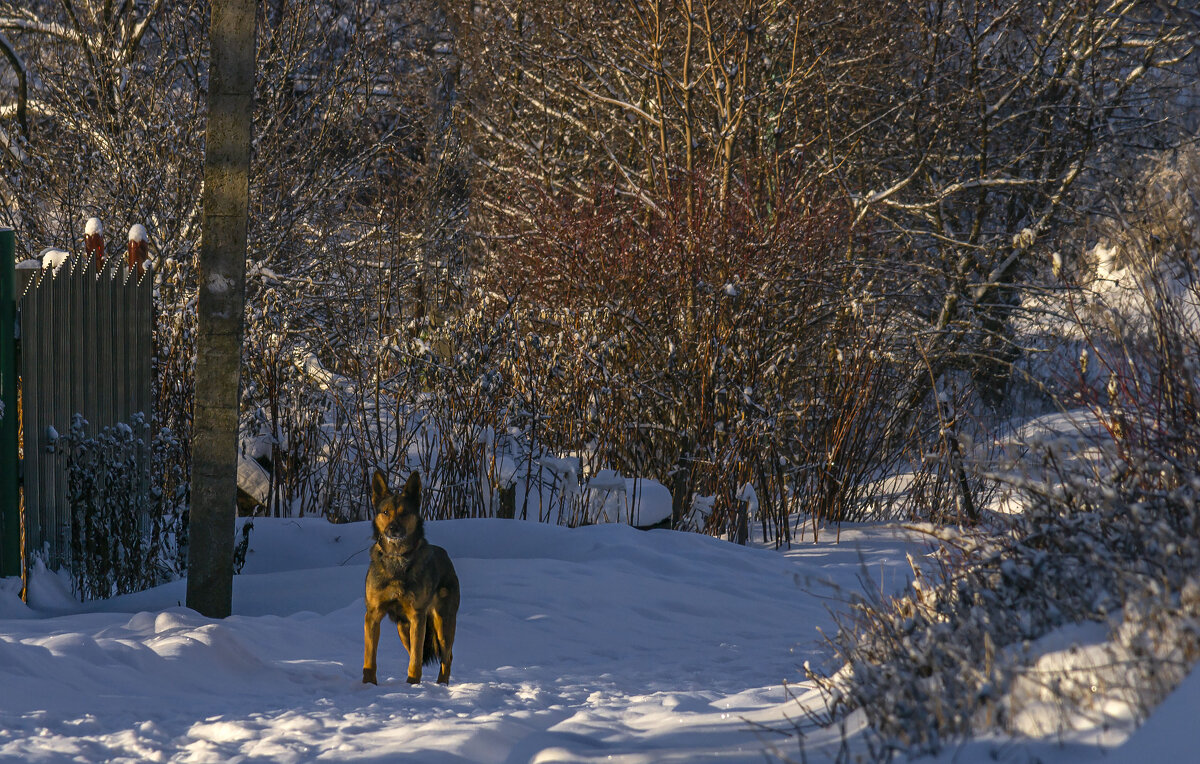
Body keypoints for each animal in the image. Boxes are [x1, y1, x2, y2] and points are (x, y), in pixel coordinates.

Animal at [360, 467, 458, 681]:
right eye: (385, 512)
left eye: (404, 513)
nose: (392, 529)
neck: (397, 558)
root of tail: (446, 556)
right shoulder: (373, 615)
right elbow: (370, 659)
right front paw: (368, 684)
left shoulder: (417, 616)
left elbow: (415, 661)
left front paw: (412, 684)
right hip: (403, 629)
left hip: (442, 624)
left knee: (447, 657)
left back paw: (441, 685)